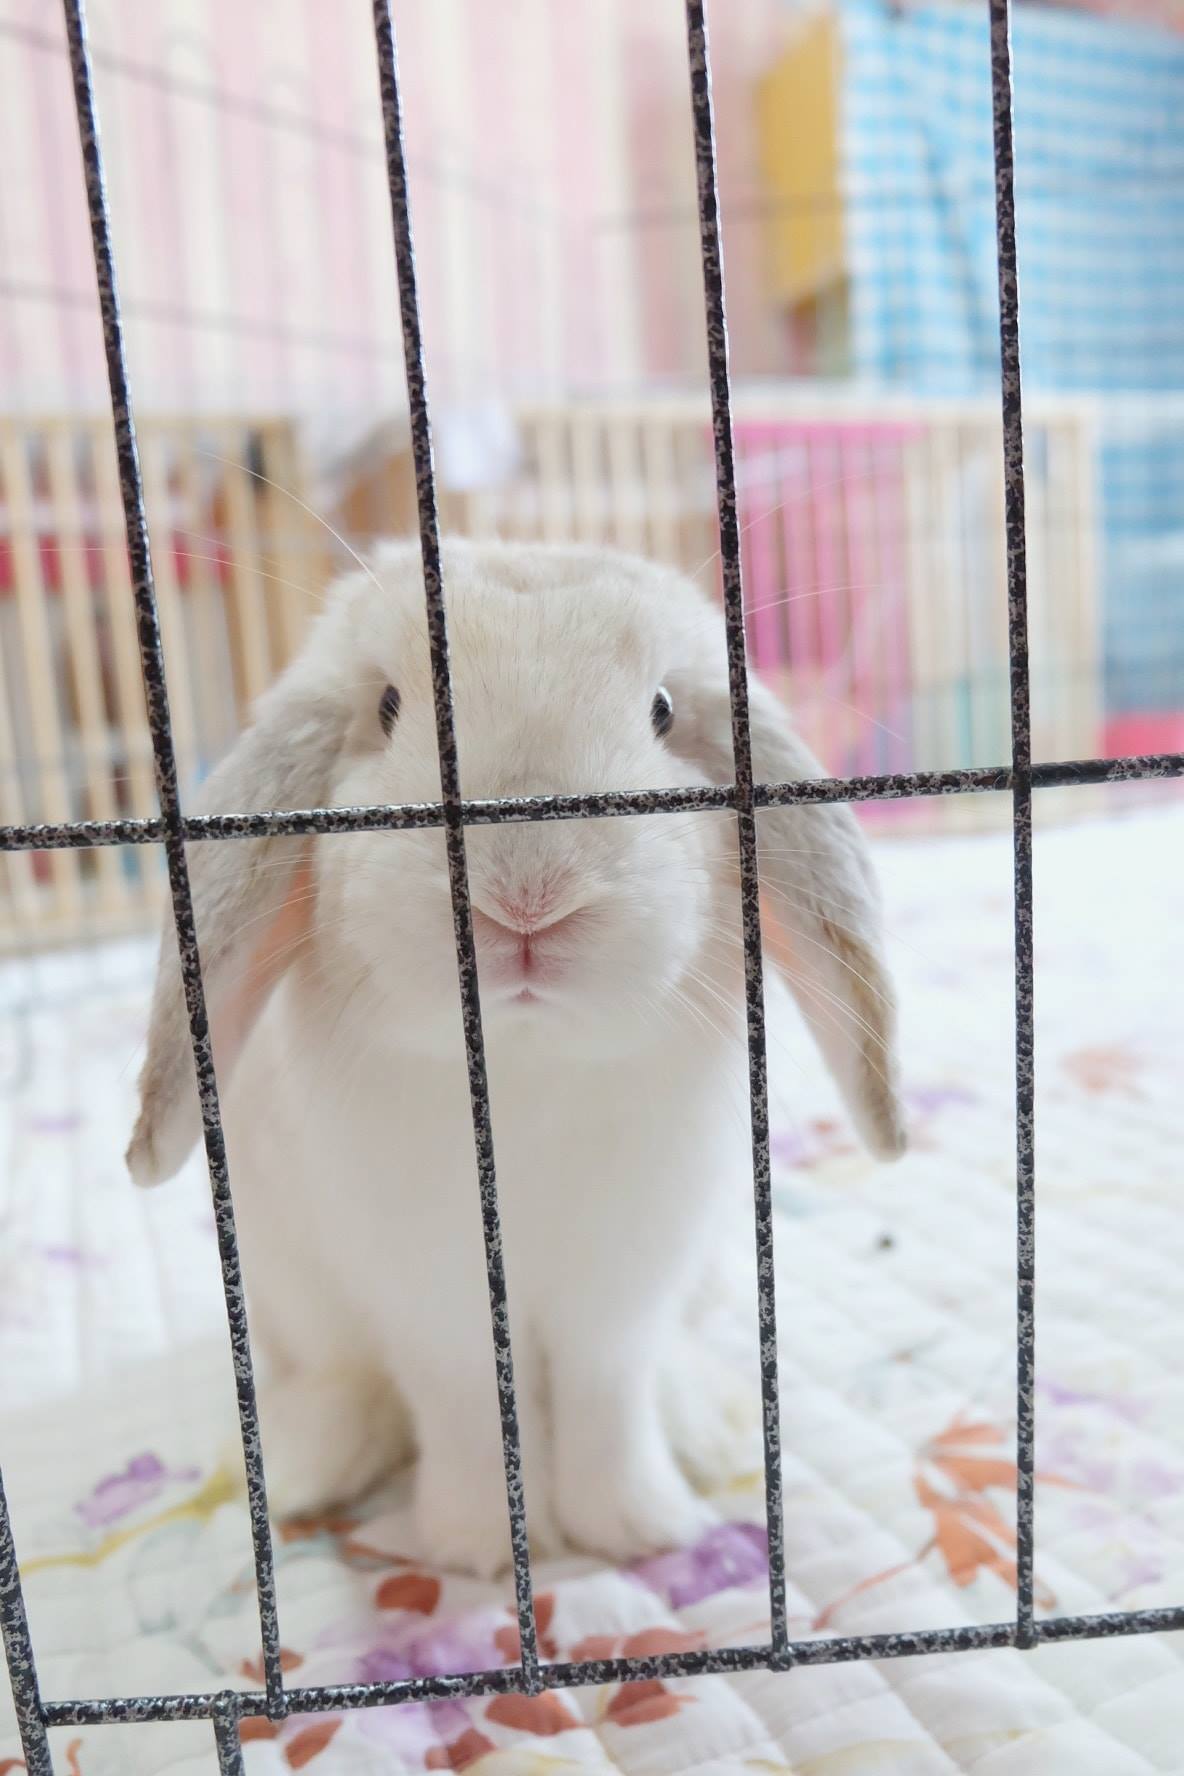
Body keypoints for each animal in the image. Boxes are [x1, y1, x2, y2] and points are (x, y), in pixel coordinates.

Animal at [127, 538, 904, 1577]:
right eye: (389, 706)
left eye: (663, 710)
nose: (529, 893)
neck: (522, 1068)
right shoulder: (434, 1301)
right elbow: (467, 1405)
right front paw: (483, 1547)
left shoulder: (624, 1290)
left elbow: (608, 1391)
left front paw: (635, 1528)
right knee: (343, 1381)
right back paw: (299, 1467)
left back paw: (709, 1426)